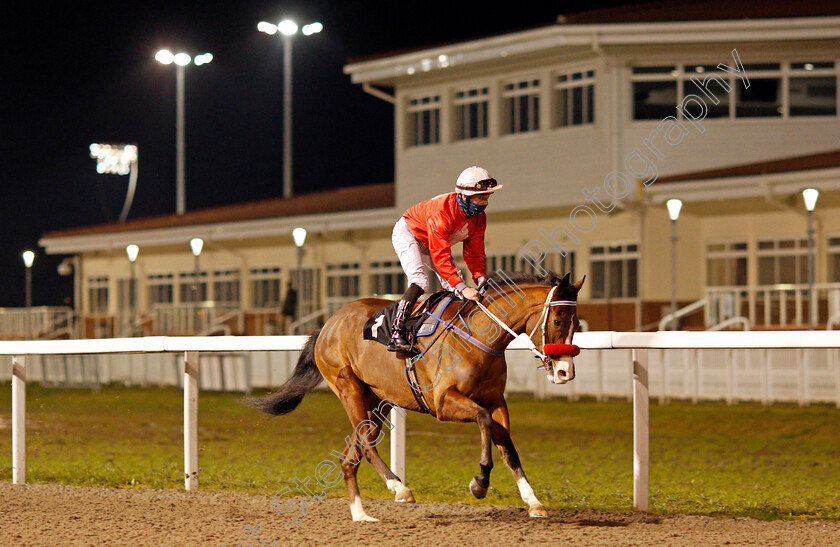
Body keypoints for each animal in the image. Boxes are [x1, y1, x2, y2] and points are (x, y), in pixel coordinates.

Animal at [249, 270, 584, 524]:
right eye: (557, 320)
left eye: (577, 323)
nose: (565, 371)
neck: (479, 337)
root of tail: (329, 323)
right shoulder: (444, 402)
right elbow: (484, 420)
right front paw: (479, 483)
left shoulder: (497, 401)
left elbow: (508, 448)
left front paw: (534, 502)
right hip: (348, 388)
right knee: (366, 445)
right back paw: (399, 488)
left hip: (377, 402)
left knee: (350, 455)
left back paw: (361, 514)